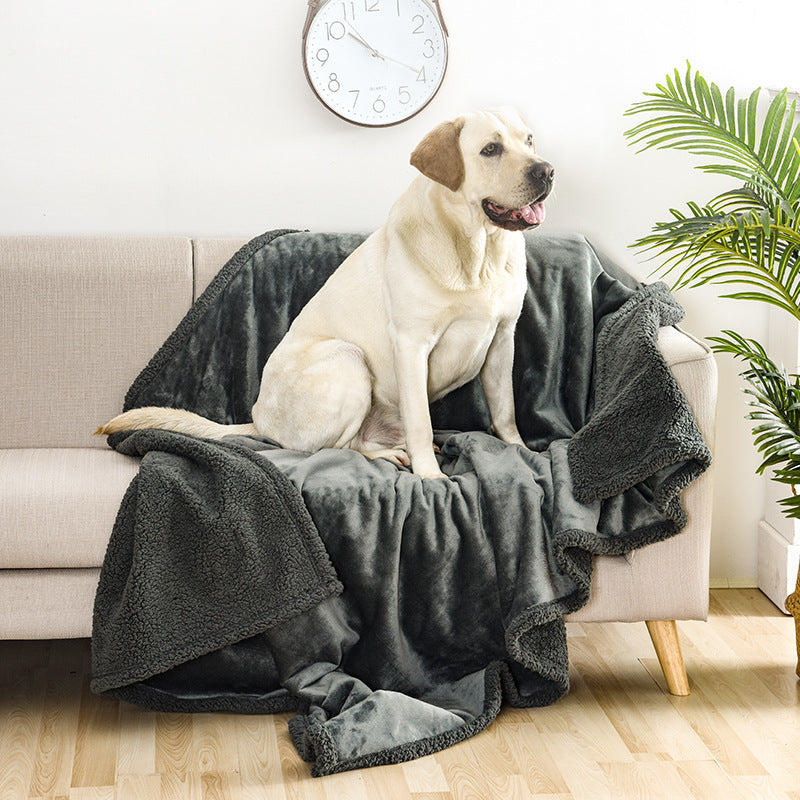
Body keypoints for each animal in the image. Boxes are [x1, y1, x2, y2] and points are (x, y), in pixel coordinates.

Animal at [95, 109, 556, 478]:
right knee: (338, 447)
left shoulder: (502, 339)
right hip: (347, 360)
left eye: (529, 140)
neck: (478, 254)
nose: (547, 171)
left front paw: (520, 452)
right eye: (490, 149)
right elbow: (421, 423)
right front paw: (431, 477)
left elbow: (505, 411)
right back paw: (391, 455)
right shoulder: (412, 345)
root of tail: (259, 421)